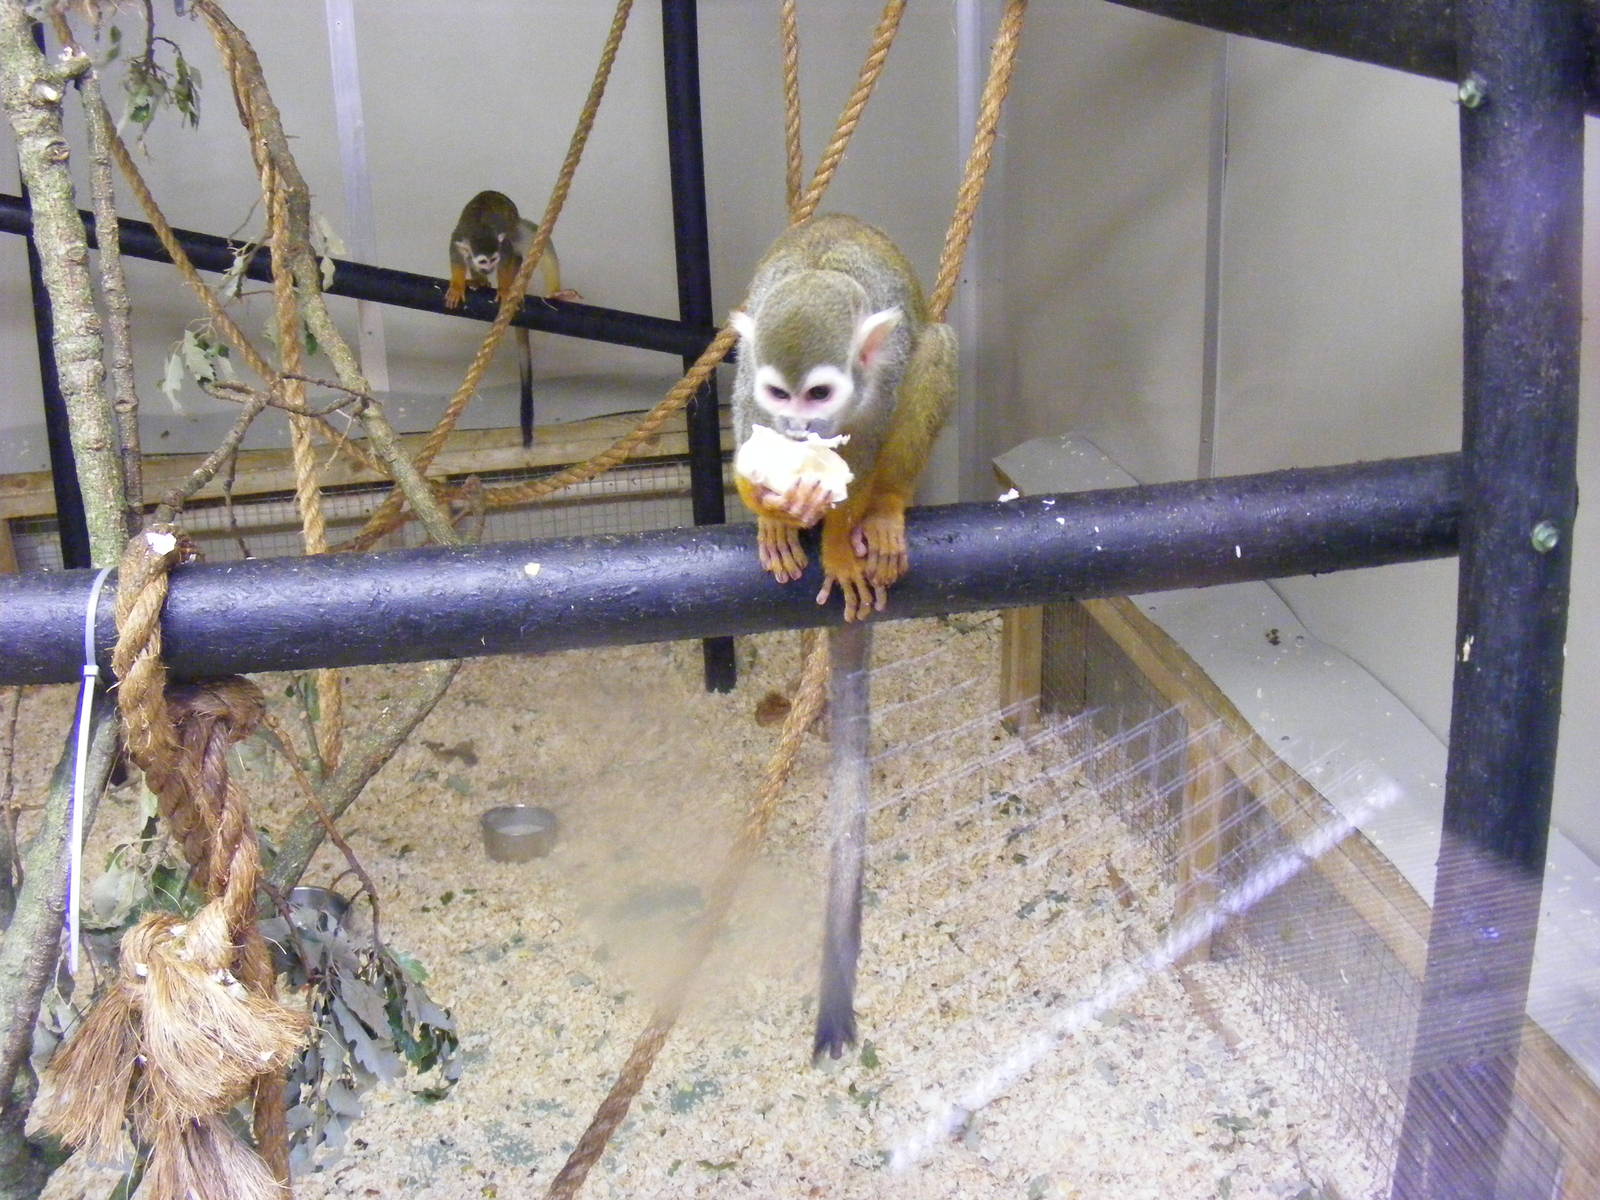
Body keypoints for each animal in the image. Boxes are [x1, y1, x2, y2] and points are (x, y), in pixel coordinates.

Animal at [444, 190, 577, 447]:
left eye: (492, 260)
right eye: (483, 261)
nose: (487, 269)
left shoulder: (503, 247)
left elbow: (507, 259)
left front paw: (505, 289)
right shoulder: (458, 241)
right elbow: (456, 257)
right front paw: (457, 284)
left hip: (515, 234)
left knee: (531, 236)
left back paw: (554, 292)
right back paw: (479, 282)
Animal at [730, 212, 957, 1060]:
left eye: (818, 391)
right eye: (780, 392)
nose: (799, 425)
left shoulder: (875, 377)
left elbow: (878, 419)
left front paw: (836, 532)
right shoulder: (747, 374)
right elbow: (743, 419)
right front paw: (773, 508)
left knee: (935, 348)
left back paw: (882, 510)